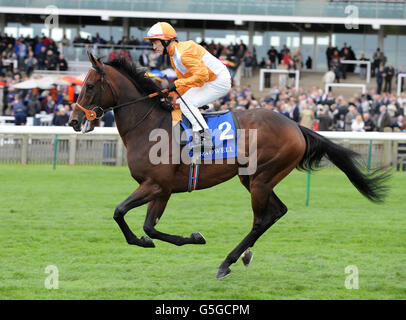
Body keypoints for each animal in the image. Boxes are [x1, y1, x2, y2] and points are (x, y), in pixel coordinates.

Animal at [70, 52, 390, 278]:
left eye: (89, 86)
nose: (73, 120)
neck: (149, 125)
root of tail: (296, 126)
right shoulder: (160, 189)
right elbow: (145, 224)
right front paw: (165, 239)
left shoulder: (156, 185)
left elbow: (122, 213)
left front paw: (187, 238)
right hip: (253, 178)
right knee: (276, 212)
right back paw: (244, 255)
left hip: (261, 178)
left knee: (261, 219)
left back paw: (228, 262)